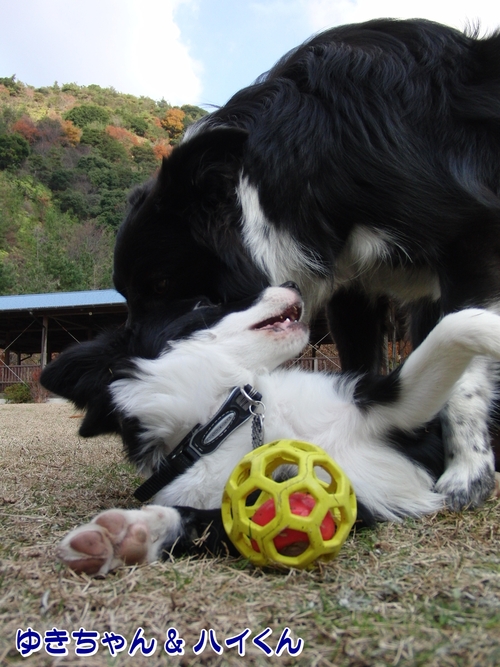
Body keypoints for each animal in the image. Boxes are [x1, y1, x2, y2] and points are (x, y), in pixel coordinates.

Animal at [111, 19, 500, 512]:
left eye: (162, 286)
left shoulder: (470, 238)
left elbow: (466, 375)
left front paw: (467, 473)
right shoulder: (355, 285)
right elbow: (363, 361)